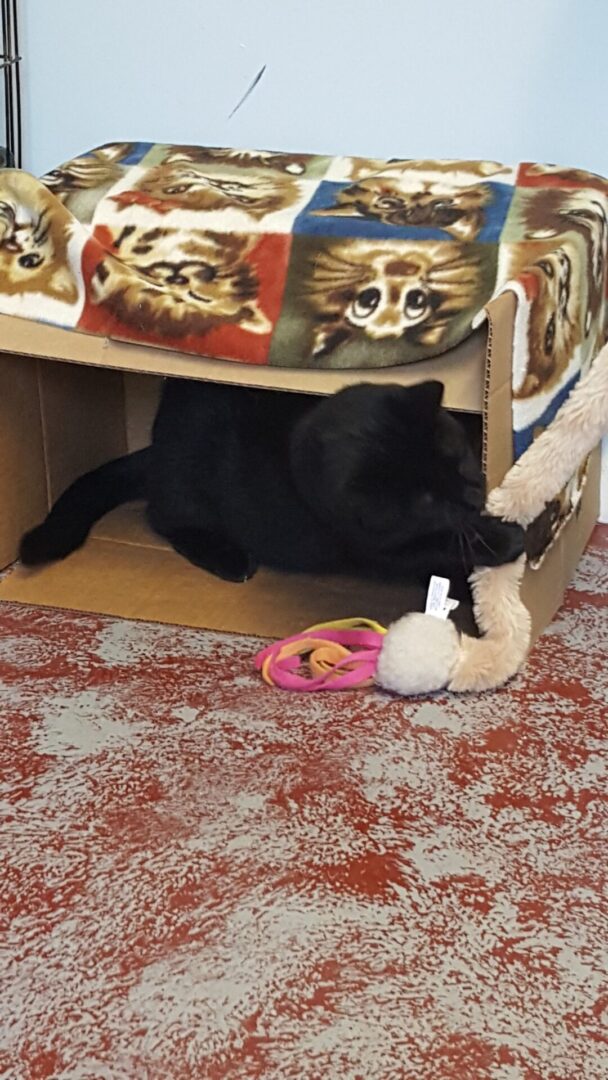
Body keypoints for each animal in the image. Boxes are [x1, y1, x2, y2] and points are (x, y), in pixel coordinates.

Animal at [19, 375, 522, 587]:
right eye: (425, 501)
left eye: (455, 456)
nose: (472, 495)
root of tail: (155, 445)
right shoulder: (370, 547)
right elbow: (437, 546)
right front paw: (509, 539)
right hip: (184, 484)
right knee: (163, 518)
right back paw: (227, 557)